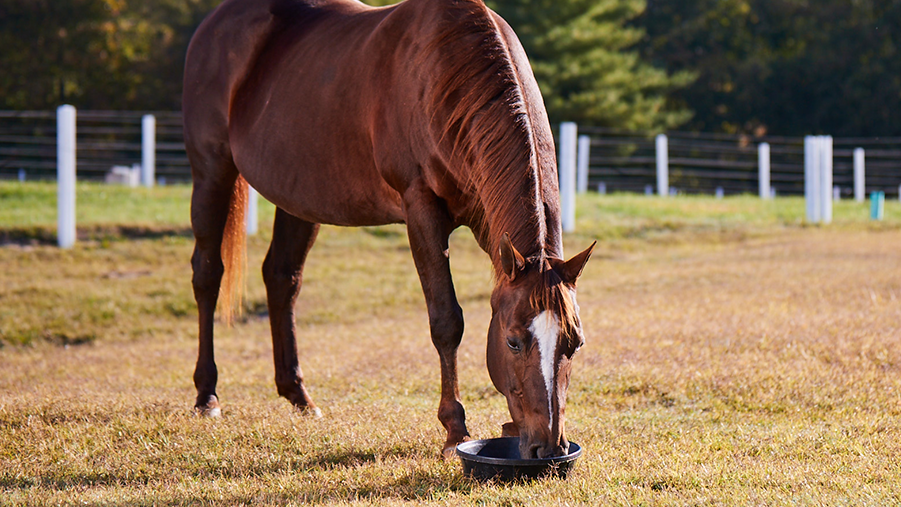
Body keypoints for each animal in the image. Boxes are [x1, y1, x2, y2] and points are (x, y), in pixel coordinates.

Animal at [183, 0, 596, 460]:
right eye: (512, 341)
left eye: (574, 343)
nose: (550, 448)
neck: (445, 71)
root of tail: (217, 22)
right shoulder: (420, 211)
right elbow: (446, 320)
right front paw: (454, 428)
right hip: (212, 172)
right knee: (208, 274)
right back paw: (207, 396)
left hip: (297, 197)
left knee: (281, 278)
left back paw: (299, 396)